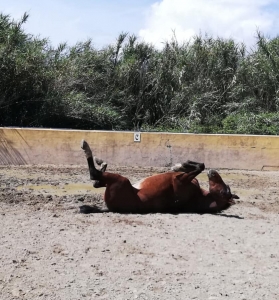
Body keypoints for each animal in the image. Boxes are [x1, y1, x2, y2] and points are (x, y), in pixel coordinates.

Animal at [80, 141, 238, 213]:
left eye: (224, 191)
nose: (214, 173)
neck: (196, 196)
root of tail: (110, 209)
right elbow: (198, 166)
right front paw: (179, 166)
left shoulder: (180, 181)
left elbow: (199, 167)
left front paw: (179, 166)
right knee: (97, 181)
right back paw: (101, 162)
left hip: (120, 180)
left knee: (94, 175)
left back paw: (87, 149)